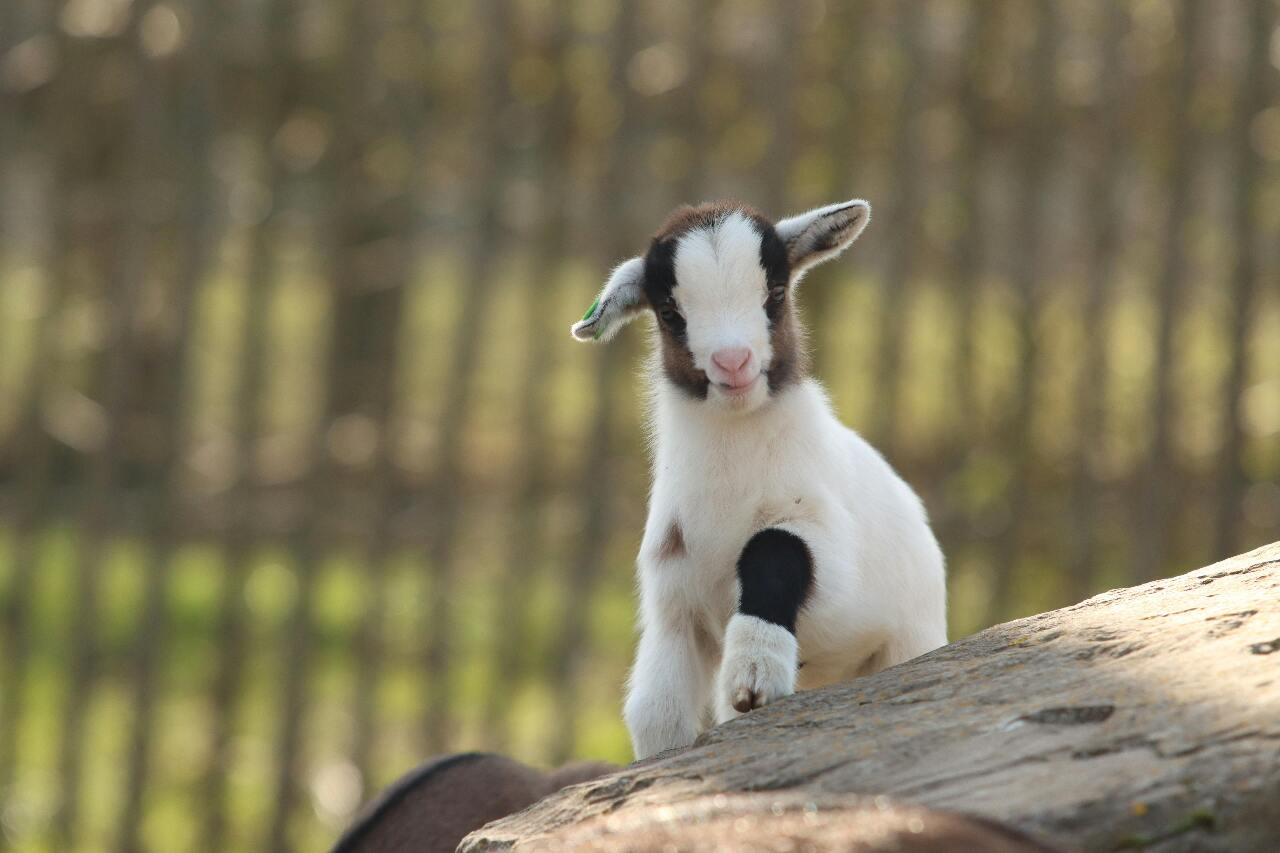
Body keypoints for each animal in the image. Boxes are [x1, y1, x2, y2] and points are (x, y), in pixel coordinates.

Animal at [571, 199, 947, 759]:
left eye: (775, 293)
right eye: (670, 312)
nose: (733, 362)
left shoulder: (823, 538)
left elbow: (773, 551)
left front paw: (754, 671)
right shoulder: (674, 600)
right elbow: (657, 712)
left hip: (909, 639)